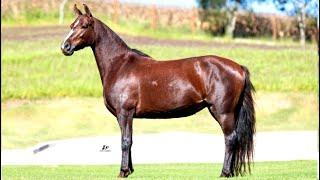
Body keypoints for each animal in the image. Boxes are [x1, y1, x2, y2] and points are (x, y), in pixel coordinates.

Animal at [60, 3, 255, 178]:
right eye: (71, 26)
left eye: (84, 26)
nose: (65, 47)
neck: (120, 65)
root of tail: (238, 67)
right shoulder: (127, 116)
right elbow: (130, 140)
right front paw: (129, 170)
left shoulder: (125, 113)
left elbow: (125, 141)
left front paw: (123, 171)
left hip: (223, 112)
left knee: (230, 139)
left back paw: (224, 173)